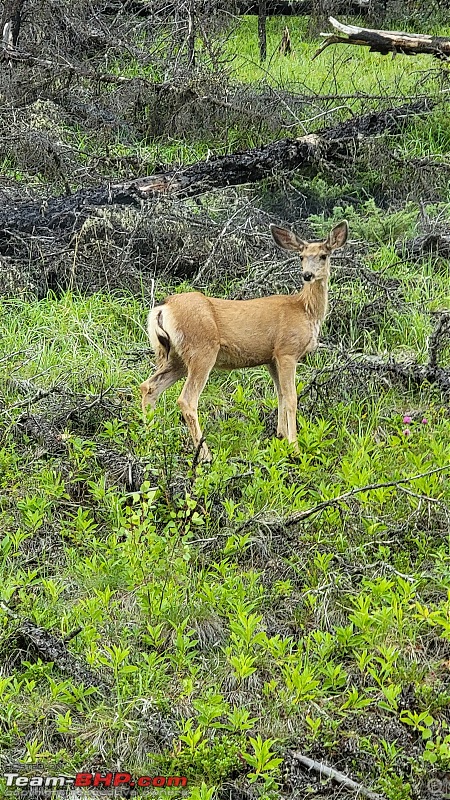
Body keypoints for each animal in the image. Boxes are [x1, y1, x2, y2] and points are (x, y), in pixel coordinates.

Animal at [140, 222, 348, 466]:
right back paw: (205, 455)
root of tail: (163, 308)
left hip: (176, 356)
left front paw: (280, 438)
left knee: (149, 386)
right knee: (186, 400)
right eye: (301, 256)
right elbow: (291, 398)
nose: (307, 275)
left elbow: (280, 395)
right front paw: (294, 449)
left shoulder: (271, 357)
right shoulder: (286, 351)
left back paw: (151, 439)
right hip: (202, 349)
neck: (305, 310)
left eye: (323, 255)